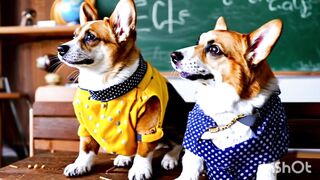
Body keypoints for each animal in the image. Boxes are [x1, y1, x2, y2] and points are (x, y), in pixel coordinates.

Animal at [56, 0, 190, 179]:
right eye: (73, 36)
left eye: (90, 37)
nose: (60, 48)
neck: (105, 85)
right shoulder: (85, 126)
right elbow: (86, 147)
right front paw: (80, 165)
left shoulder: (149, 122)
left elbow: (143, 149)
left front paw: (140, 168)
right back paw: (125, 157)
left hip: (171, 125)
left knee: (178, 144)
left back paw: (170, 158)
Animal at [171, 17, 288, 180]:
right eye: (197, 41)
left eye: (214, 49)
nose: (173, 55)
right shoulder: (194, 147)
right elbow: (189, 169)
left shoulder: (268, 156)